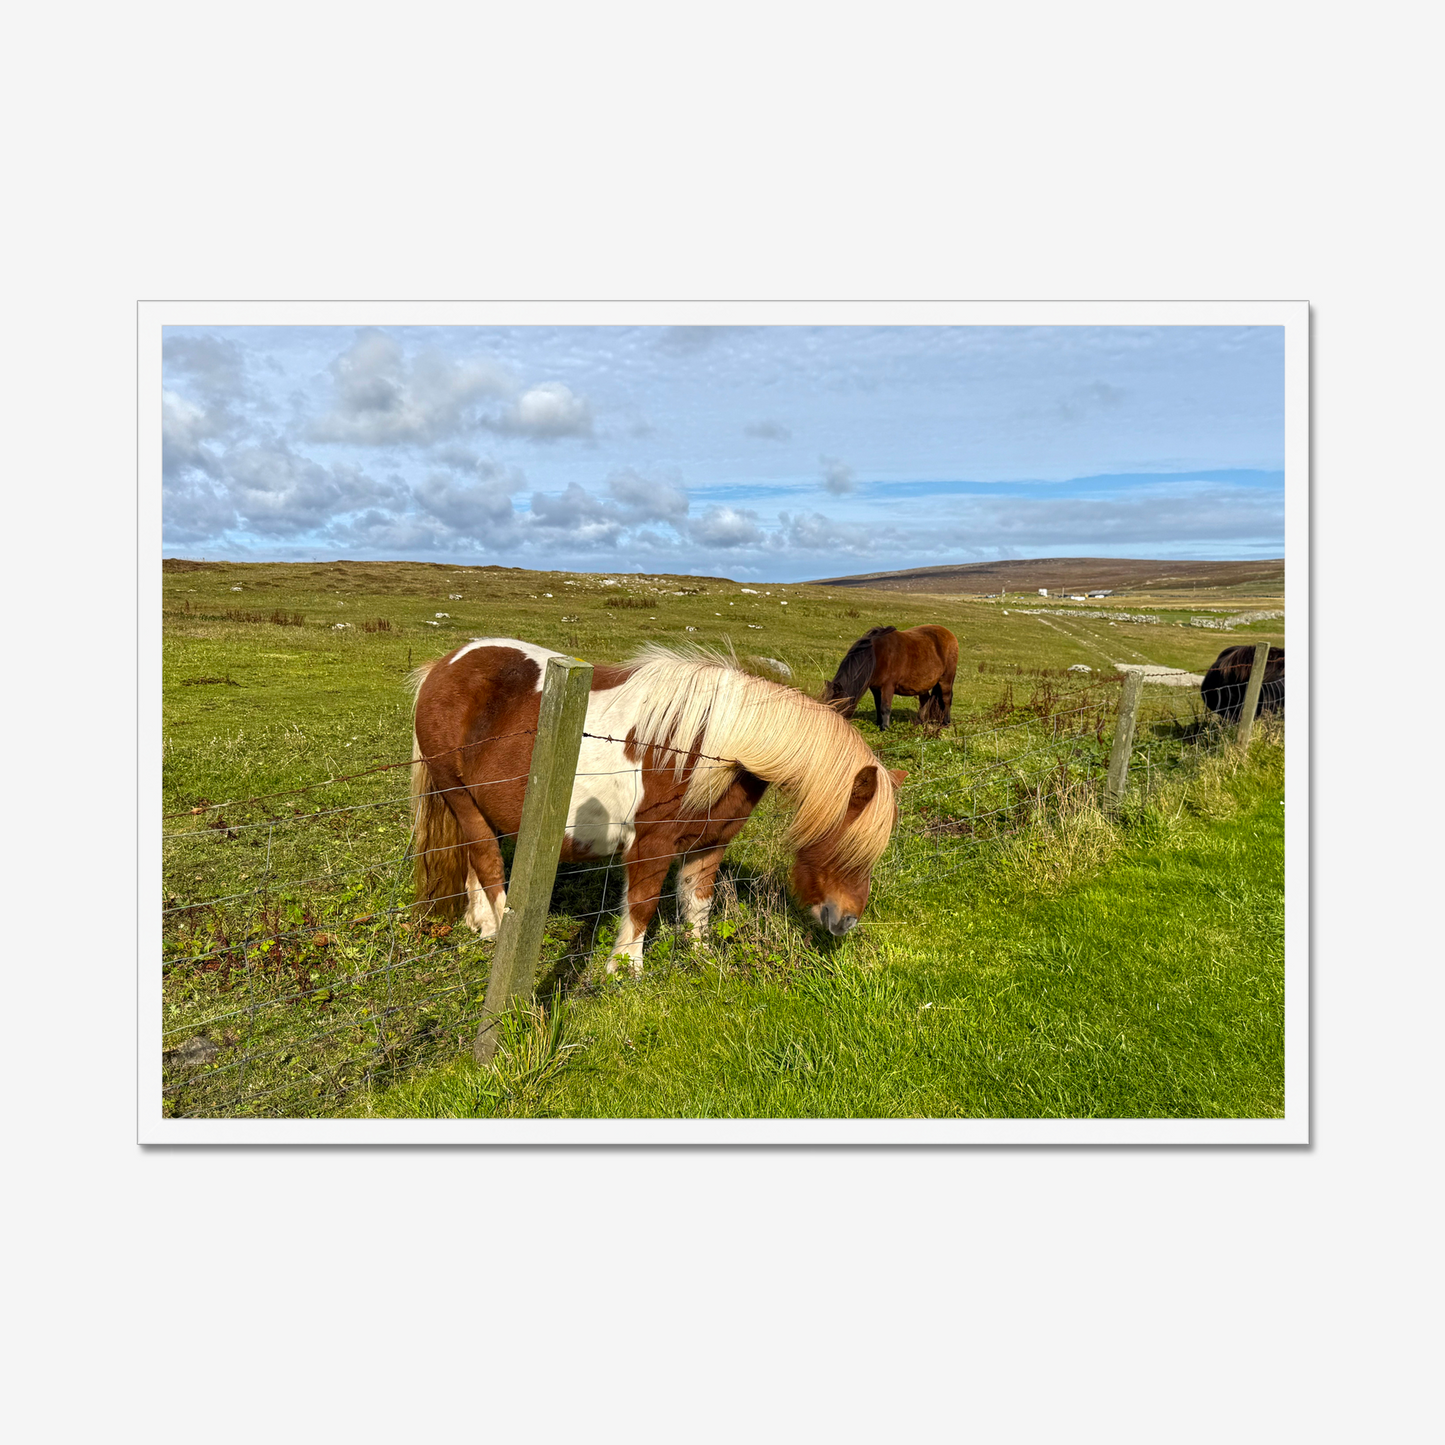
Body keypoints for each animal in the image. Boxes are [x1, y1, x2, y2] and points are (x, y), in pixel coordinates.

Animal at [409, 639, 907, 975]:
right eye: (843, 842)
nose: (846, 922)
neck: (719, 746)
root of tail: (445, 665)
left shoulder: (709, 844)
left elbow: (698, 904)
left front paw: (700, 956)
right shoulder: (651, 845)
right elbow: (643, 905)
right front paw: (624, 972)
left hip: (476, 806)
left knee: (473, 860)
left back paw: (480, 924)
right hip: (459, 795)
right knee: (489, 863)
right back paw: (498, 932)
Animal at [821, 625, 959, 730]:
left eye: (835, 706)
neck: (876, 655)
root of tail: (950, 634)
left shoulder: (888, 686)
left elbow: (885, 707)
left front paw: (885, 727)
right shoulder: (875, 688)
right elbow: (878, 705)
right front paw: (878, 723)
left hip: (946, 679)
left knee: (946, 699)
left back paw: (946, 722)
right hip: (923, 684)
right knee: (925, 700)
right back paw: (919, 722)